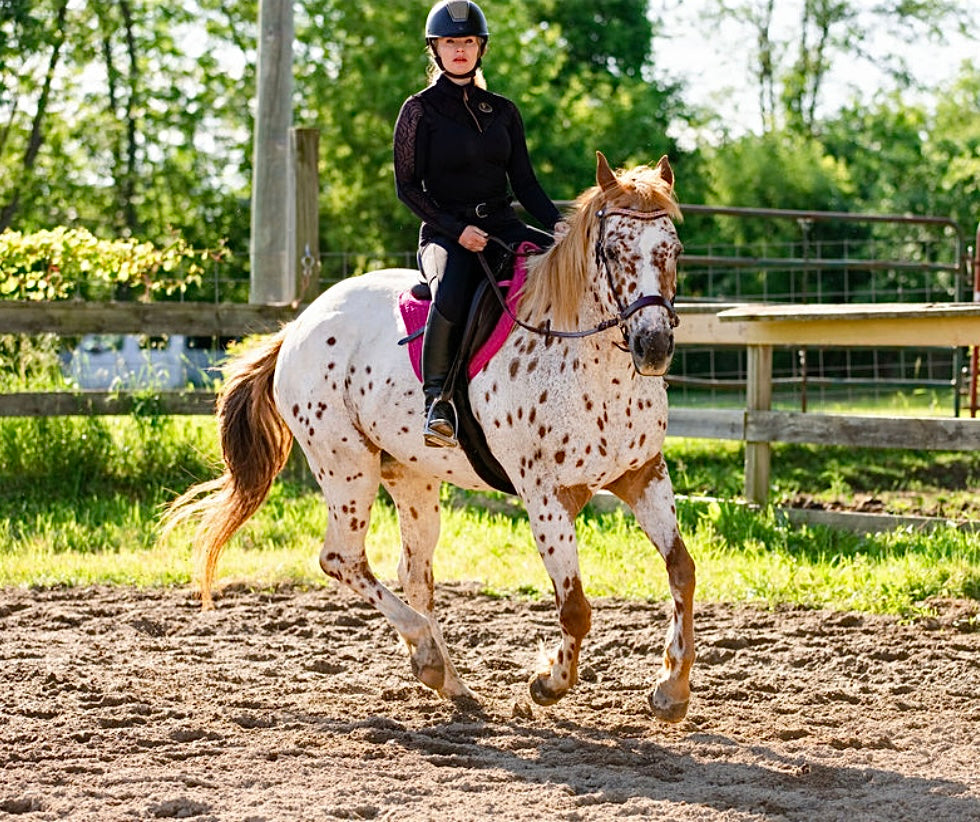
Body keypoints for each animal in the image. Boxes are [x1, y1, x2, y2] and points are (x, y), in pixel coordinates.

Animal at [165, 151, 692, 724]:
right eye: (613, 251)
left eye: (674, 249)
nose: (653, 346)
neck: (590, 371)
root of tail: (297, 327)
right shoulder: (546, 498)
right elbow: (575, 609)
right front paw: (548, 684)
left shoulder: (642, 476)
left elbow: (681, 572)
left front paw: (671, 691)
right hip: (346, 467)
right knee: (341, 560)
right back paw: (428, 657)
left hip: (411, 477)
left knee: (413, 573)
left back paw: (450, 680)